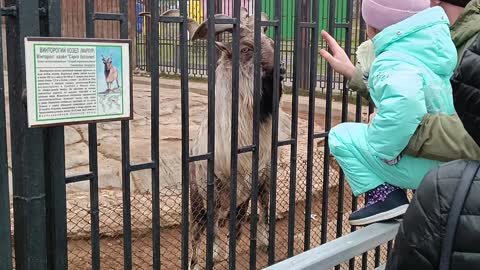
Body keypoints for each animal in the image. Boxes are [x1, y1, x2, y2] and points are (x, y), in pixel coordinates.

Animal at [153, 7, 288, 268]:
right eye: (246, 49)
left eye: (271, 43)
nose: (282, 70)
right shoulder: (211, 189)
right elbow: (211, 229)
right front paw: (210, 257)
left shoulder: (253, 186)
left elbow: (244, 225)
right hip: (199, 201)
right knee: (200, 229)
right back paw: (199, 259)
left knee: (255, 216)